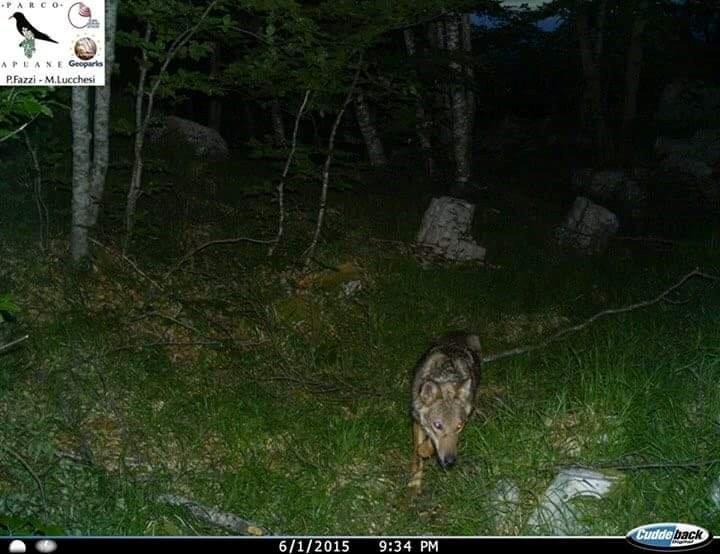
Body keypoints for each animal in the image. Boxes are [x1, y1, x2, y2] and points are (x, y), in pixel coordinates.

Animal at [408, 332, 482, 494]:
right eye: (438, 425)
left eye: (459, 426)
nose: (450, 461)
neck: (445, 376)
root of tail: (460, 334)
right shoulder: (417, 420)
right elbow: (417, 453)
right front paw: (415, 482)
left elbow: (426, 446)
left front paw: (425, 450)